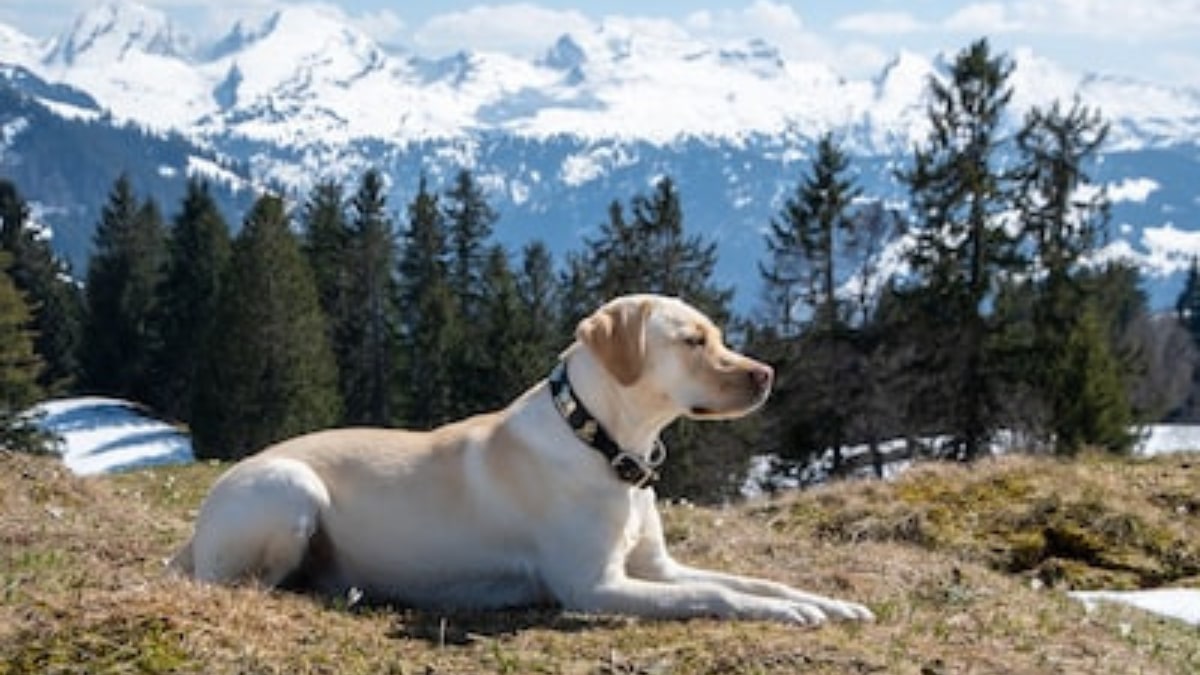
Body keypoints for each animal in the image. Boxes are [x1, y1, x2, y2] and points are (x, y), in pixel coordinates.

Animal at [171, 291, 873, 624]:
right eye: (693, 341)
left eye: (719, 336)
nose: (767, 374)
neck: (604, 445)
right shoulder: (595, 587)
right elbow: (717, 596)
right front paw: (788, 612)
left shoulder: (657, 568)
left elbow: (751, 580)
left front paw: (822, 602)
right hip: (291, 488)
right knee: (239, 583)